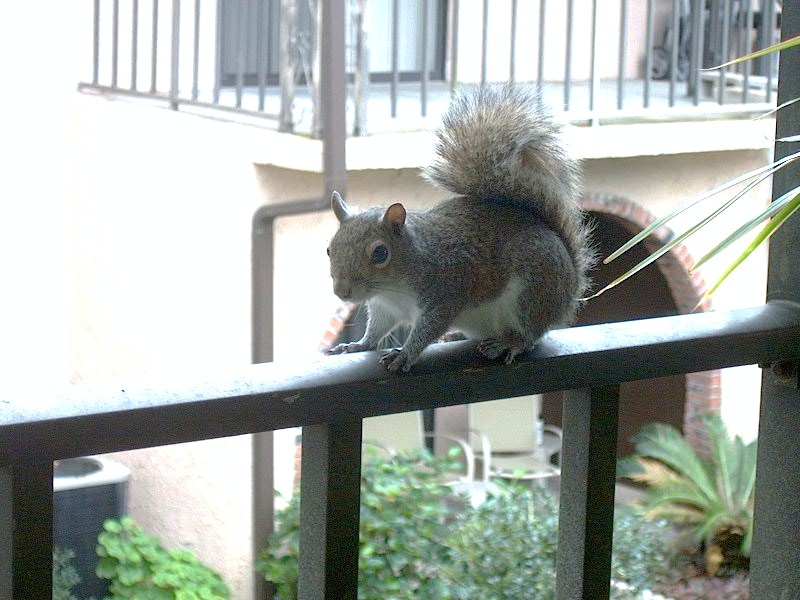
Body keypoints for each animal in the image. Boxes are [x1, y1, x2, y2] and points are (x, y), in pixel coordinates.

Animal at [322, 84, 592, 372]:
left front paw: (404, 355)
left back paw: (508, 344)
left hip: (532, 293)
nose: (341, 292)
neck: (395, 286)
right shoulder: (385, 307)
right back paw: (458, 336)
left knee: (529, 335)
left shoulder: (445, 294)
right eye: (329, 249)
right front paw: (358, 345)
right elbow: (376, 330)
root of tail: (570, 288)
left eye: (380, 253)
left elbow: (427, 330)